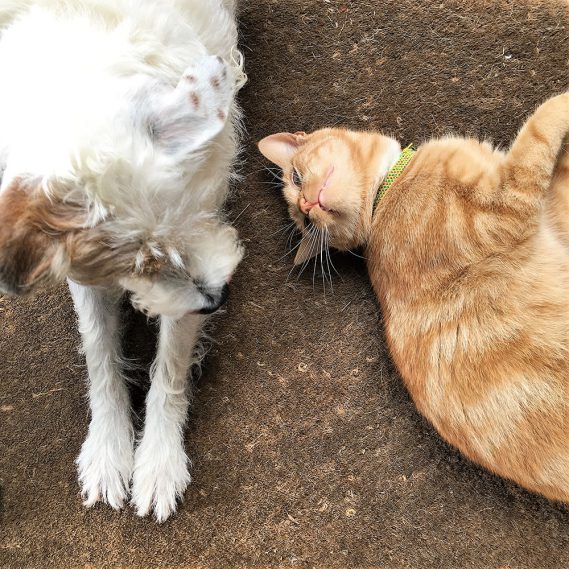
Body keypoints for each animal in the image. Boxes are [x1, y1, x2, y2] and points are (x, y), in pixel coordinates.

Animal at [0, 0, 244, 520]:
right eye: (133, 270)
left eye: (187, 218)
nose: (215, 301)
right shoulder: (84, 276)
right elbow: (99, 352)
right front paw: (109, 453)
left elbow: (169, 366)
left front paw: (158, 464)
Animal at [260, 93, 568, 502]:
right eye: (306, 222)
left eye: (295, 178)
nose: (308, 208)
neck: (388, 192)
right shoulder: (503, 210)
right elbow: (541, 124)